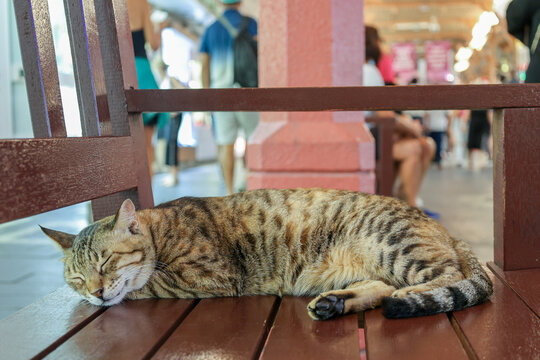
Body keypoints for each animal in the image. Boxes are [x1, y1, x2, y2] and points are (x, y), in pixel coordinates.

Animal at [40, 187, 492, 320]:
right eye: (77, 277)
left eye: (106, 262)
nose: (95, 291)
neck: (160, 228)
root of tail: (445, 230)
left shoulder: (208, 275)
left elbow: (145, 285)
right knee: (379, 286)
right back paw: (334, 303)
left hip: (394, 244)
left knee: (451, 275)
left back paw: (406, 295)